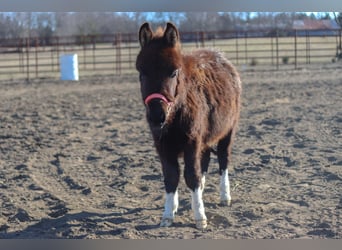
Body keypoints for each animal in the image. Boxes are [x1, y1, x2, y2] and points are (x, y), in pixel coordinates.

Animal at [135, 22, 242, 229]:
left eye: (173, 72)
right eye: (142, 74)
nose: (157, 116)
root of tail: (223, 59)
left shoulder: (192, 142)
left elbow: (191, 175)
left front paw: (200, 216)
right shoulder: (162, 145)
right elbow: (171, 177)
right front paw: (168, 214)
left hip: (228, 131)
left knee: (223, 160)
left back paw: (225, 196)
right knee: (205, 160)